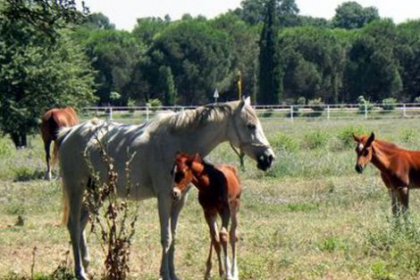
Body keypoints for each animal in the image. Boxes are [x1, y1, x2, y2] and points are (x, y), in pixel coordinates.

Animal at [58, 97, 276, 280]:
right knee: (73, 225)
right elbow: (166, 238)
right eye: (250, 126)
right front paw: (166, 275)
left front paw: (172, 273)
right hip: (76, 190)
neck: (178, 143)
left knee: (81, 225)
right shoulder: (164, 197)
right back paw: (80, 272)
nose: (269, 158)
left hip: (96, 193)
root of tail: (68, 133)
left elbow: (174, 235)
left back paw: (86, 266)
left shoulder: (179, 200)